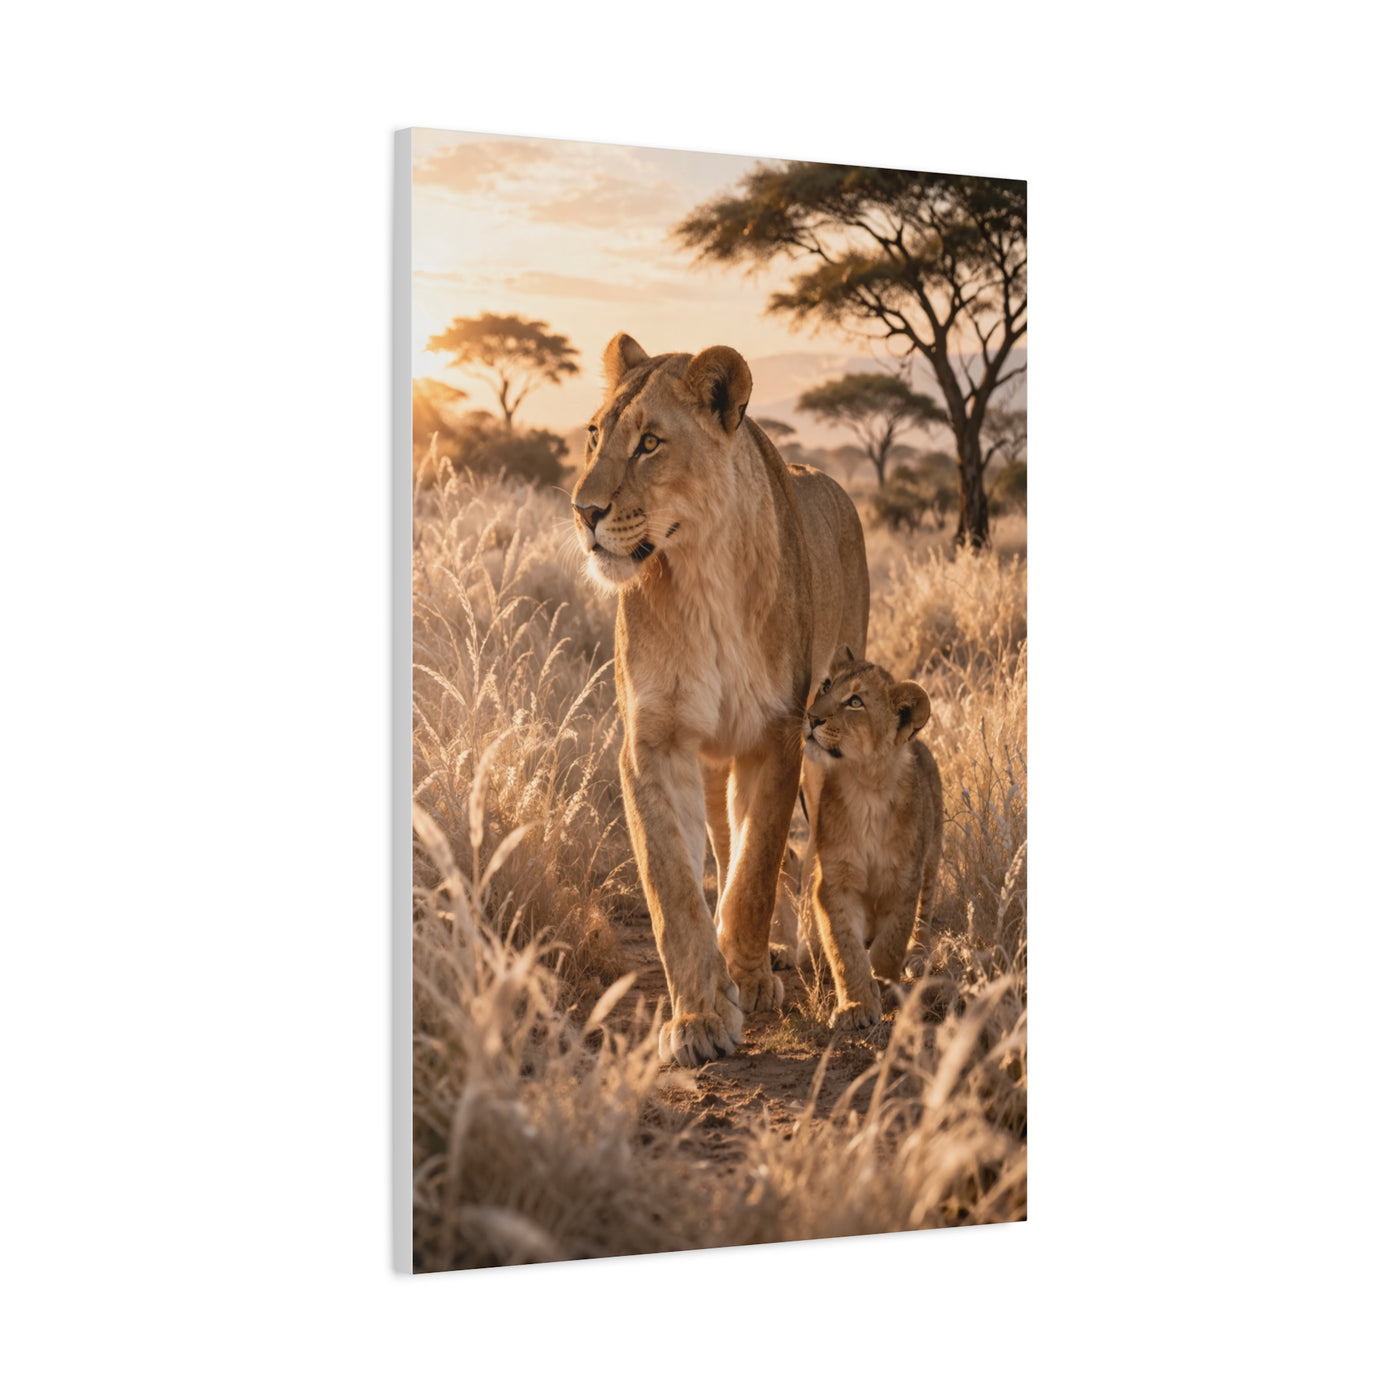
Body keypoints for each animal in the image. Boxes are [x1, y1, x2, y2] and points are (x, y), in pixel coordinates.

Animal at [571, 333, 869, 1067]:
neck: (701, 570)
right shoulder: (654, 741)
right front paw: (701, 1014)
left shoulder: (778, 734)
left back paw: (787, 952)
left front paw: (749, 975)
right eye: (594, 436)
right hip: (710, 759)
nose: (582, 512)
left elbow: (755, 867)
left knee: (788, 852)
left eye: (650, 443)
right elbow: (674, 886)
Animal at [800, 649, 943, 1031]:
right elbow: (844, 948)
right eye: (826, 685)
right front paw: (856, 1005)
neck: (865, 787)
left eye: (855, 702)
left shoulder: (904, 880)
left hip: (931, 860)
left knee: (924, 915)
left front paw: (882, 980)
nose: (811, 717)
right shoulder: (834, 882)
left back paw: (918, 956)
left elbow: (890, 943)